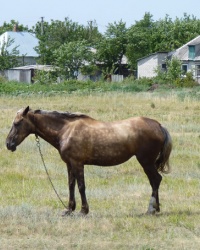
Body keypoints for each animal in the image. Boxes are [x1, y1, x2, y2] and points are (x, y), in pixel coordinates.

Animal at [5, 106, 172, 216]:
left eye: (17, 123)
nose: (8, 144)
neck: (66, 130)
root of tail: (158, 125)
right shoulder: (69, 164)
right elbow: (71, 185)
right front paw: (69, 209)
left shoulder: (78, 164)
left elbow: (81, 186)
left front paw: (83, 210)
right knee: (154, 181)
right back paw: (156, 208)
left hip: (146, 162)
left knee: (156, 180)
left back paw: (151, 209)